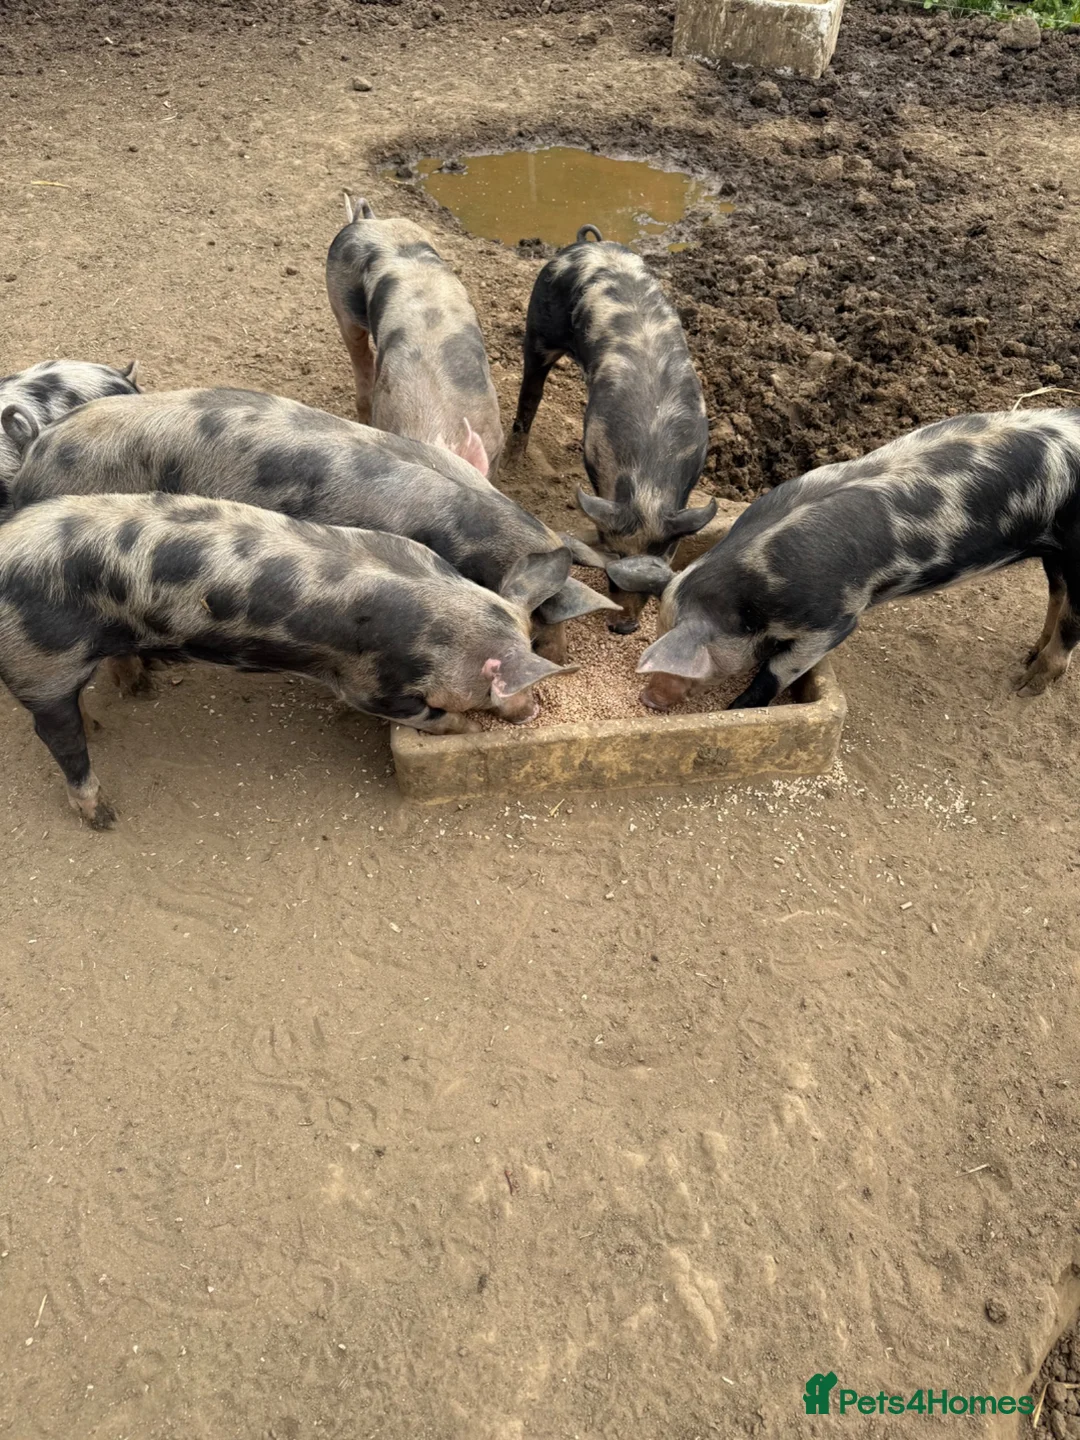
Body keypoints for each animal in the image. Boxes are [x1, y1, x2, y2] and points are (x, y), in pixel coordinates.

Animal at [0, 491, 576, 827]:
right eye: (506, 685)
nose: (532, 711)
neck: (443, 627)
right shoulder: (370, 682)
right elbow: (423, 713)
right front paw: (468, 728)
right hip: (41, 663)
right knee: (57, 737)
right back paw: (105, 815)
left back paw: (108, 719)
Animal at [510, 223, 715, 633]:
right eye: (615, 557)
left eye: (663, 556)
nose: (624, 627)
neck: (648, 480)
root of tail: (587, 246)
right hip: (538, 326)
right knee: (531, 389)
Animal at [636, 408, 1080, 711]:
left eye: (692, 663)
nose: (647, 699)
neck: (757, 579)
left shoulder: (834, 619)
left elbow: (778, 669)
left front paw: (739, 709)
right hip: (1054, 550)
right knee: (1057, 593)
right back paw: (1029, 653)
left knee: (1070, 622)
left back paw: (1024, 686)